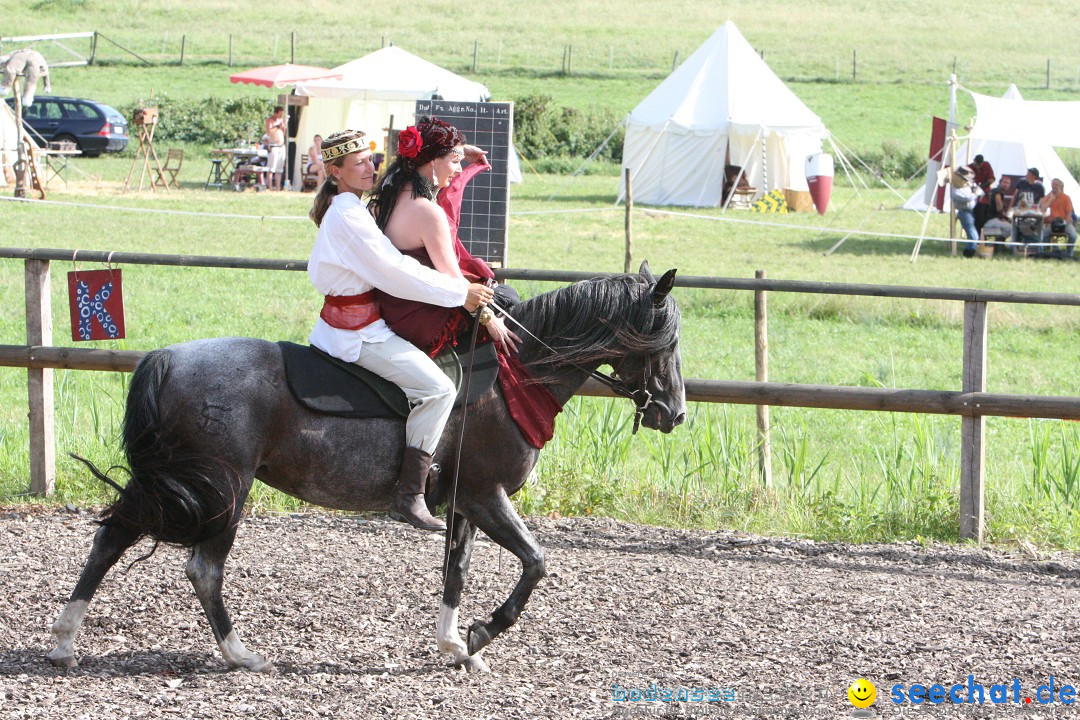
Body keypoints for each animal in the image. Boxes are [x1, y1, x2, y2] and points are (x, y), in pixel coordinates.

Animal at [46, 263, 682, 677]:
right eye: (665, 344)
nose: (673, 413)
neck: (511, 378)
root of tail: (167, 358)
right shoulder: (487, 495)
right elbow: (535, 563)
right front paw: (481, 633)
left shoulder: (465, 504)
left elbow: (456, 572)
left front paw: (456, 646)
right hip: (225, 487)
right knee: (203, 568)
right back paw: (240, 654)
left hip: (172, 482)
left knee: (111, 538)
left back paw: (63, 641)